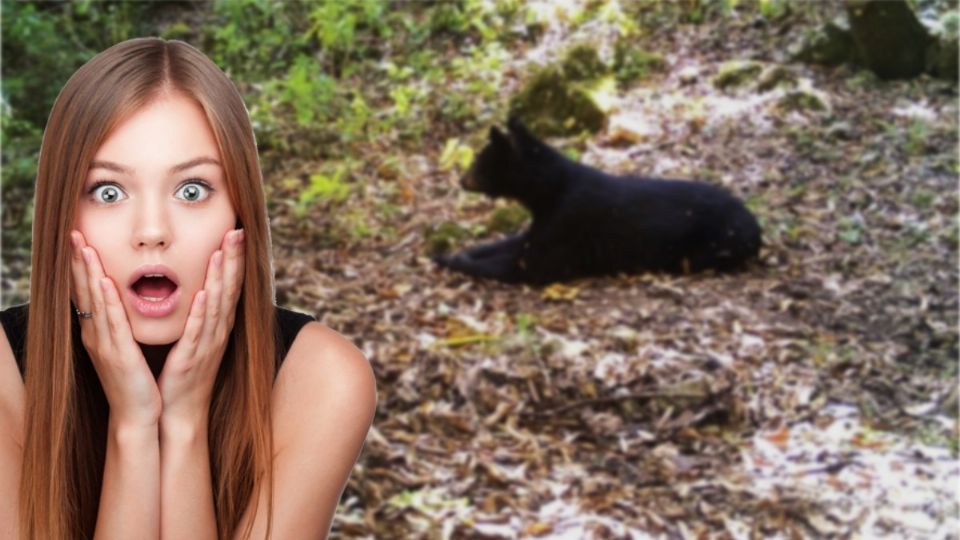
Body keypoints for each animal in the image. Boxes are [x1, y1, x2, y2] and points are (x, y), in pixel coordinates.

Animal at [433, 118, 761, 285]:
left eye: (481, 161)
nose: (461, 180)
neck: (549, 191)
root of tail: (757, 229)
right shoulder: (543, 223)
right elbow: (508, 242)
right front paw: (456, 250)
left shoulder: (565, 224)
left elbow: (520, 265)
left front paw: (451, 259)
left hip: (711, 245)